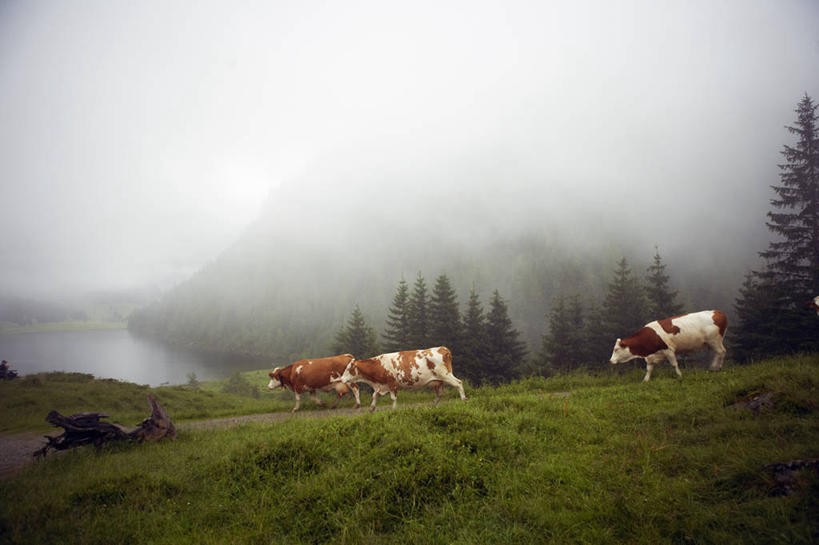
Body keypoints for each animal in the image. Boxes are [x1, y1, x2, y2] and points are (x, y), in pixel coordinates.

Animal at [340, 346, 468, 410]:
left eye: (348, 369)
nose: (341, 379)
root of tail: (442, 348)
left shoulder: (392, 384)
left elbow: (393, 398)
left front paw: (393, 409)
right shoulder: (381, 385)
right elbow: (375, 395)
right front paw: (371, 408)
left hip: (445, 375)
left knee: (458, 383)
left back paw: (463, 400)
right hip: (438, 380)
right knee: (440, 393)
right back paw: (433, 406)